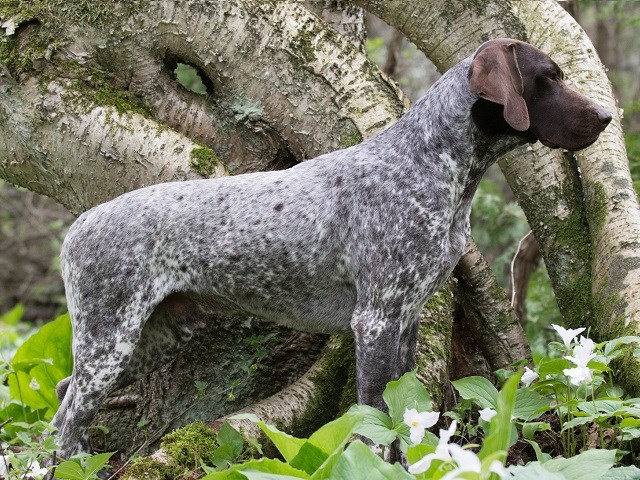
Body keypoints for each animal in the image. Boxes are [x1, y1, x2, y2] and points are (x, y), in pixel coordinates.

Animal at [52, 38, 612, 458]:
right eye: (550, 77)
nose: (608, 116)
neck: (434, 163)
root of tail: (79, 225)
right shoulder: (375, 321)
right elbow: (374, 420)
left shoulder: (405, 319)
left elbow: (403, 414)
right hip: (111, 340)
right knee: (67, 421)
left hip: (148, 338)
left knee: (62, 399)